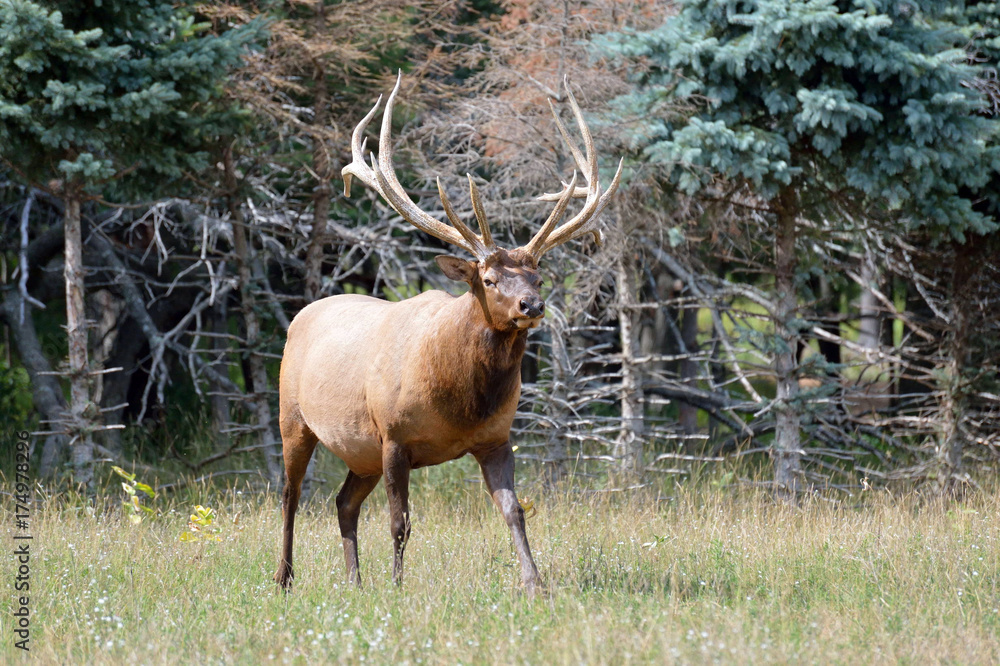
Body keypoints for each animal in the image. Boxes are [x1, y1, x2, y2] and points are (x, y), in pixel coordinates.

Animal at [273, 73, 622, 595]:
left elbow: (514, 511)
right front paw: (398, 586)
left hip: (359, 453)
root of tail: (301, 316)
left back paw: (354, 581)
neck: (459, 401)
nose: (532, 306)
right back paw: (284, 577)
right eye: (489, 279)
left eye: (538, 277)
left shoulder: (495, 437)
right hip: (294, 420)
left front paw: (535, 584)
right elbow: (400, 522)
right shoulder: (393, 435)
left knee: (343, 502)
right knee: (290, 495)